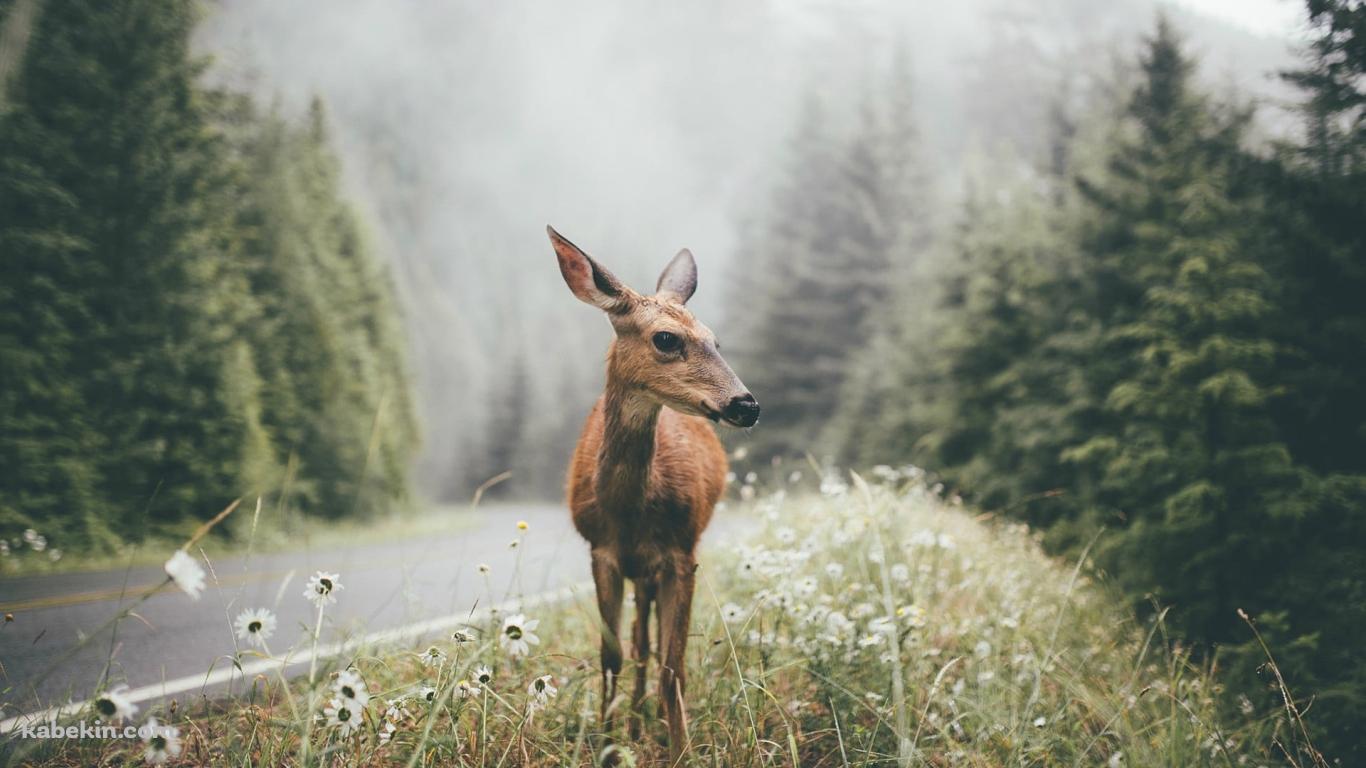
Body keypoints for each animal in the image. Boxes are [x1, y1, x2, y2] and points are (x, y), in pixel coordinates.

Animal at [547, 225, 760, 763]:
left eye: (716, 340)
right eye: (666, 338)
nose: (747, 405)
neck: (627, 514)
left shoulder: (682, 553)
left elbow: (673, 663)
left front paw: (681, 749)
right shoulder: (601, 551)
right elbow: (612, 654)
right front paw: (606, 743)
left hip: (656, 566)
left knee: (652, 645)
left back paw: (648, 721)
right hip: (636, 570)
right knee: (639, 641)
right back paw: (635, 721)